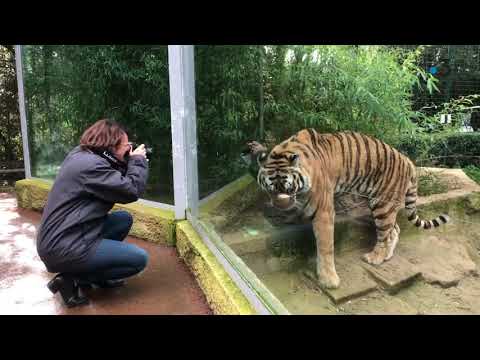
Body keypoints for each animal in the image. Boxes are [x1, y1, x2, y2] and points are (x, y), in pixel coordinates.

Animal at [246, 129, 448, 290]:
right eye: (270, 189)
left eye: (287, 187)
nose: (280, 204)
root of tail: (408, 161)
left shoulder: (324, 212)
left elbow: (326, 247)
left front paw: (328, 280)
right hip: (378, 205)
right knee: (394, 229)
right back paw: (386, 256)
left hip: (382, 205)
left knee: (385, 233)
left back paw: (375, 257)